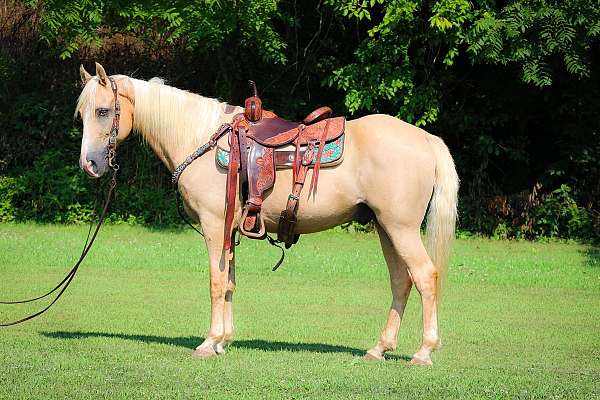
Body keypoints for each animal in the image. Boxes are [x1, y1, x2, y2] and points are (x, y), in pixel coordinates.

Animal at [76, 62, 460, 366]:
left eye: (103, 111)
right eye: (82, 114)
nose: (89, 164)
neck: (200, 139)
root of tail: (425, 139)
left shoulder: (214, 225)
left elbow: (216, 282)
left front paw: (208, 342)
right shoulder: (230, 230)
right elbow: (229, 282)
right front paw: (223, 342)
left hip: (401, 228)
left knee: (425, 276)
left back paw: (424, 351)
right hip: (385, 227)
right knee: (401, 281)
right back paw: (378, 349)